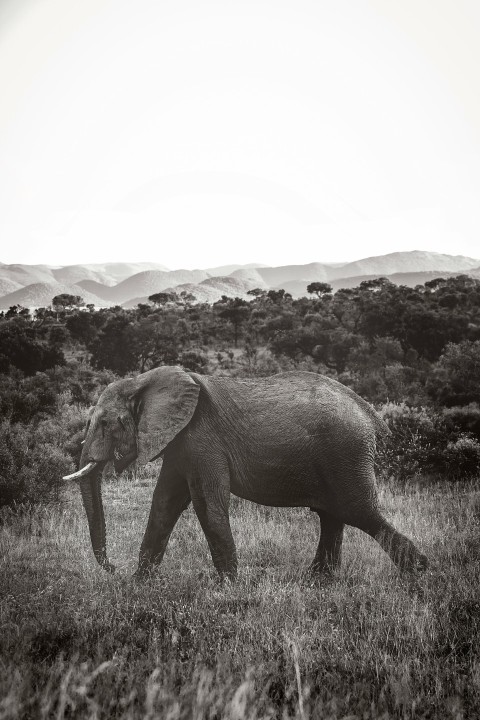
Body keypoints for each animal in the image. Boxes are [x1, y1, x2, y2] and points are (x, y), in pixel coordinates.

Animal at [63, 366, 428, 578]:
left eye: (105, 423)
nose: (113, 569)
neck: (144, 381)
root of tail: (370, 413)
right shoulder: (180, 442)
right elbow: (164, 503)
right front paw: (141, 585)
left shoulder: (201, 437)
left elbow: (206, 505)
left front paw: (227, 587)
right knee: (332, 515)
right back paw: (318, 582)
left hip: (346, 451)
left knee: (357, 511)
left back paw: (420, 574)